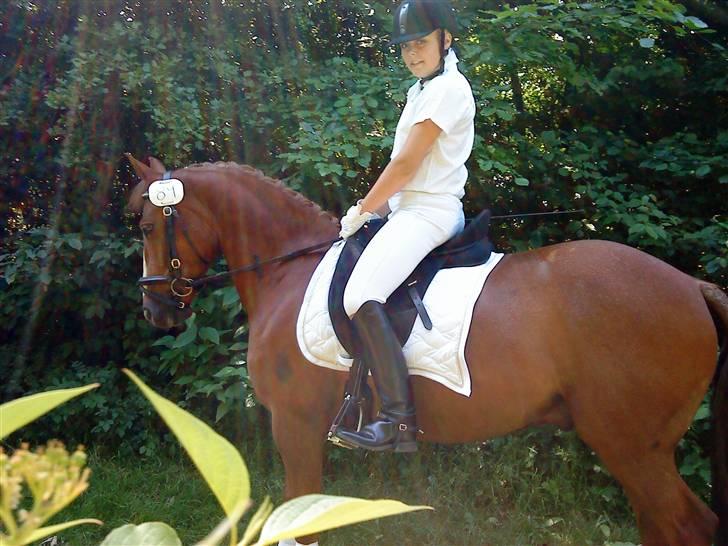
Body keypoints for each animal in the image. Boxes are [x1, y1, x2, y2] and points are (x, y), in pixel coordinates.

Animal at [125, 153, 728, 546]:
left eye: (150, 225)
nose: (155, 308)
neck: (288, 269)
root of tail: (692, 285)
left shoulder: (294, 424)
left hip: (634, 449)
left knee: (687, 527)